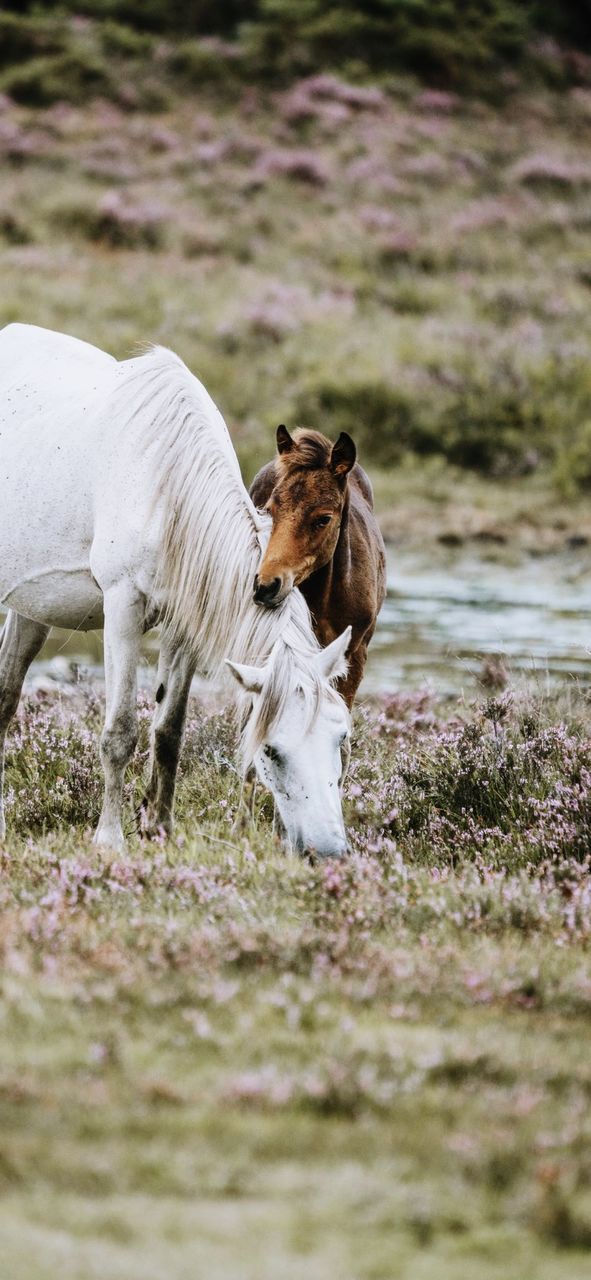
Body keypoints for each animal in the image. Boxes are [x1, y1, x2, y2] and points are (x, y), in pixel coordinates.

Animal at [0, 325, 350, 855]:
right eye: (271, 750)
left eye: (340, 738)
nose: (326, 850)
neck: (168, 487)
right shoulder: (123, 608)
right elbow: (120, 732)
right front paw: (110, 839)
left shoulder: (184, 624)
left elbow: (169, 731)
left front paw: (159, 829)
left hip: (30, 610)